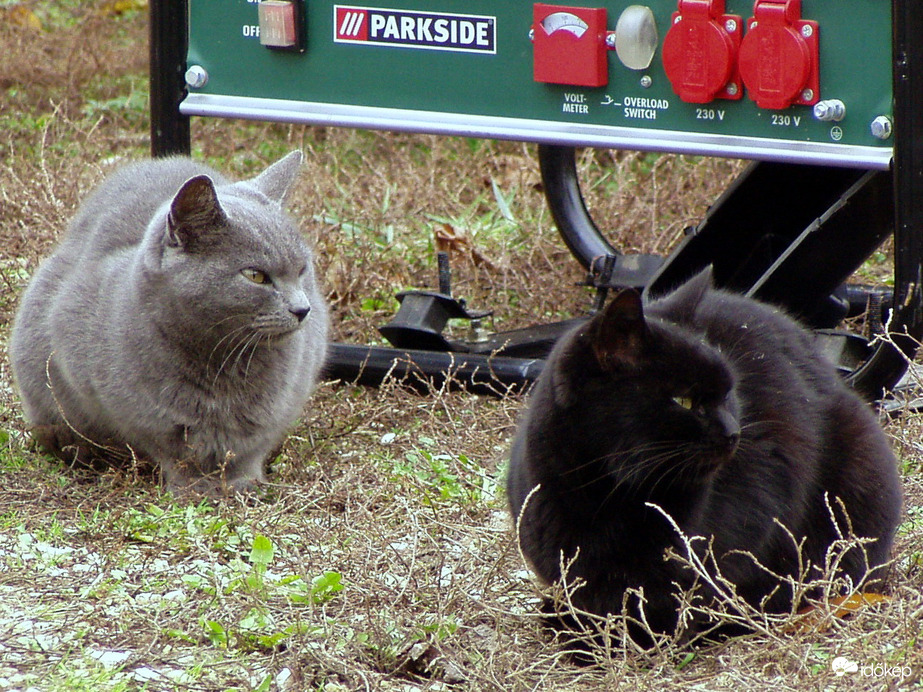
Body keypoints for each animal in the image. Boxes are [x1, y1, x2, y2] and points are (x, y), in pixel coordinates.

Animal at [9, 152, 328, 498]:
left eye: (302, 270)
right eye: (255, 275)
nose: (303, 309)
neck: (222, 364)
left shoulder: (284, 400)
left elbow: (251, 446)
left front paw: (245, 483)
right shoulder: (118, 399)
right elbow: (168, 447)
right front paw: (191, 488)